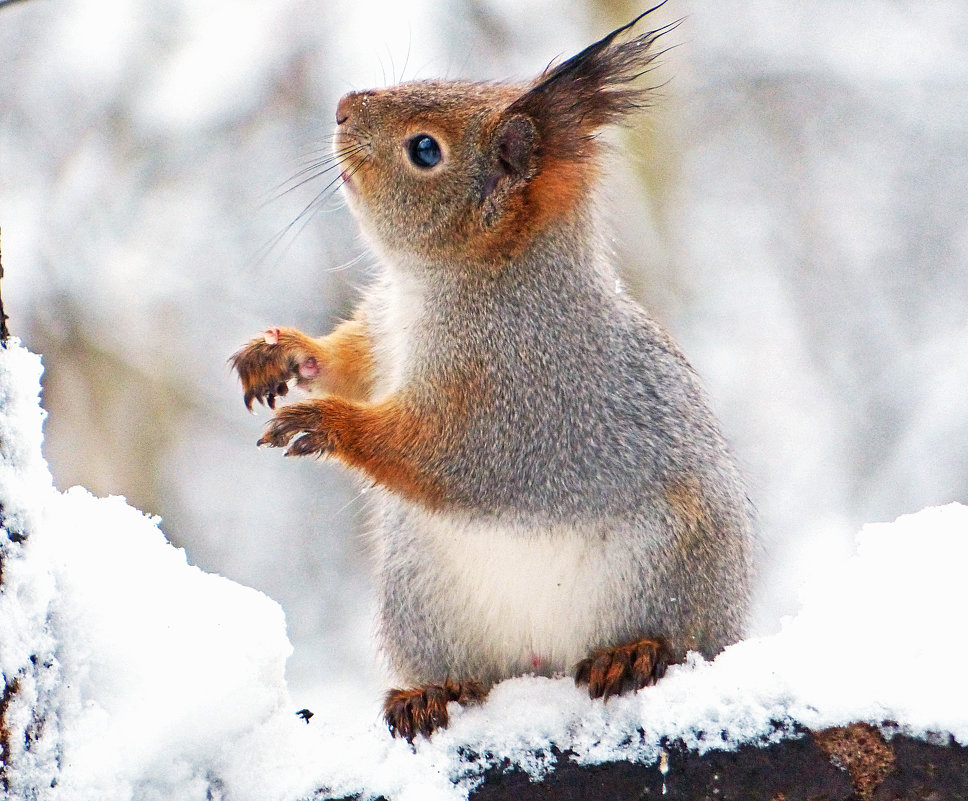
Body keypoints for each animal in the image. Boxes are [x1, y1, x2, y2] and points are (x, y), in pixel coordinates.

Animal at [231, 7, 752, 744]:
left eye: (425, 151)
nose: (342, 108)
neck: (445, 283)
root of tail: (539, 663)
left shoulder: (517, 391)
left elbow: (454, 455)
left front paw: (326, 422)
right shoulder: (385, 331)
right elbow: (350, 367)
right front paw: (281, 354)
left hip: (673, 569)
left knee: (674, 639)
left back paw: (632, 653)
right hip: (422, 596)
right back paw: (431, 692)